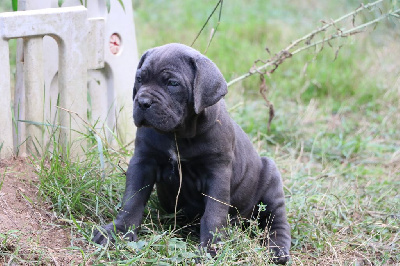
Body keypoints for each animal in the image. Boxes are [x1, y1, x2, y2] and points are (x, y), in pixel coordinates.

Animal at [93, 42, 290, 262]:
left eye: (172, 83)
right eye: (140, 79)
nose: (142, 102)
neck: (178, 134)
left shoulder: (218, 173)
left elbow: (214, 214)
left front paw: (212, 247)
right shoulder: (142, 162)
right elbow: (132, 199)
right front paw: (118, 231)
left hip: (271, 179)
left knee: (276, 221)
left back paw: (277, 250)